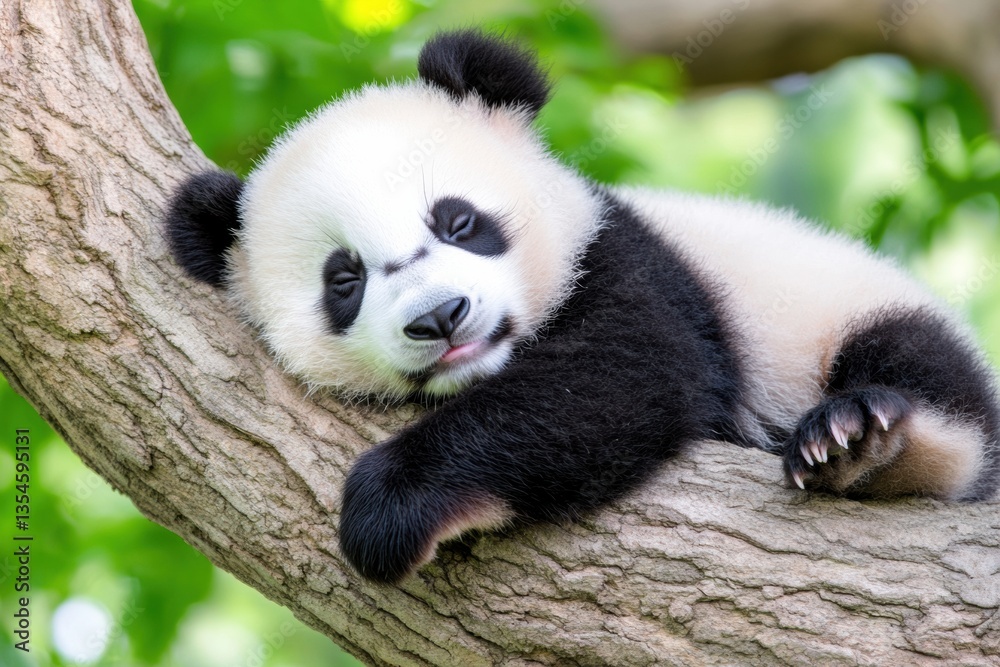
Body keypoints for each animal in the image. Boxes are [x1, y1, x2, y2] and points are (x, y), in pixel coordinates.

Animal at [165, 30, 1000, 583]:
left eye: (457, 220)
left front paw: (391, 505)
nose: (441, 316)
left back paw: (864, 442)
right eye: (345, 280)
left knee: (922, 370)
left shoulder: (625, 259)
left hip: (844, 305)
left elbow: (620, 375)